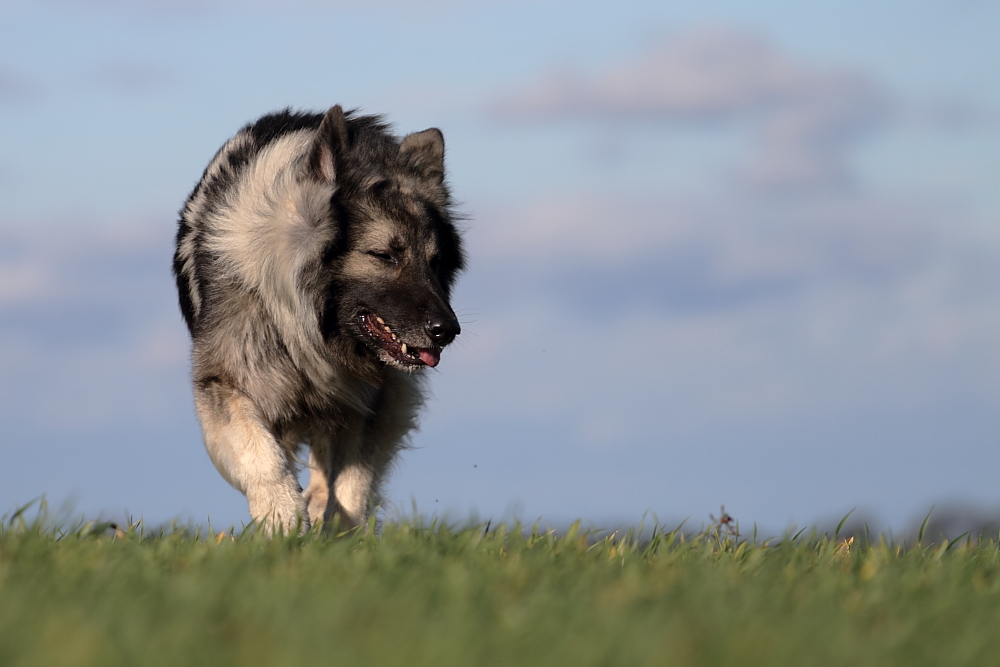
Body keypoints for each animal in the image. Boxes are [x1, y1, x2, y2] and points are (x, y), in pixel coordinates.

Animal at [173, 107, 464, 536]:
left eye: (435, 261)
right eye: (384, 255)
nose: (447, 331)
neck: (310, 331)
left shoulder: (371, 399)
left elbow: (352, 477)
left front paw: (339, 527)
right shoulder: (227, 382)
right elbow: (262, 456)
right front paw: (282, 517)